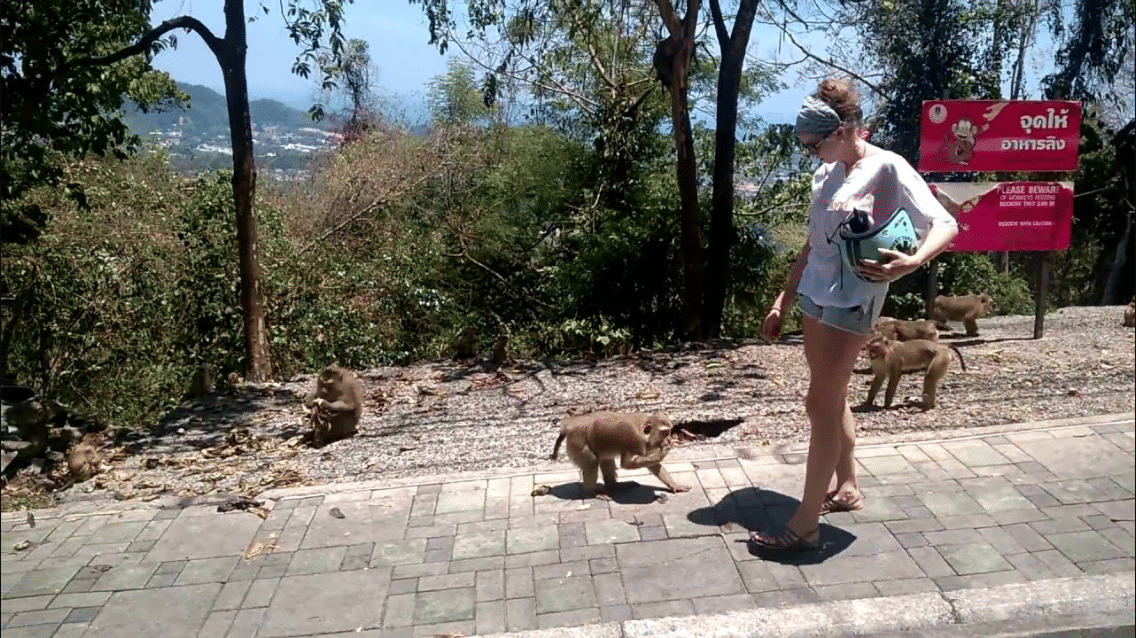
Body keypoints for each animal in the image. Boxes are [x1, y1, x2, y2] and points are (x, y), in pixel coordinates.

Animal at [550, 411, 690, 499]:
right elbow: (627, 464)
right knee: (592, 462)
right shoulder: (635, 439)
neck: (644, 430)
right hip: (577, 441)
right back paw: (592, 492)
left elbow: (653, 465)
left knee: (606, 458)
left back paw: (614, 486)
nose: (669, 440)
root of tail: (570, 425)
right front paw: (663, 453)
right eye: (665, 433)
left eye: (669, 432)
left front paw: (674, 485)